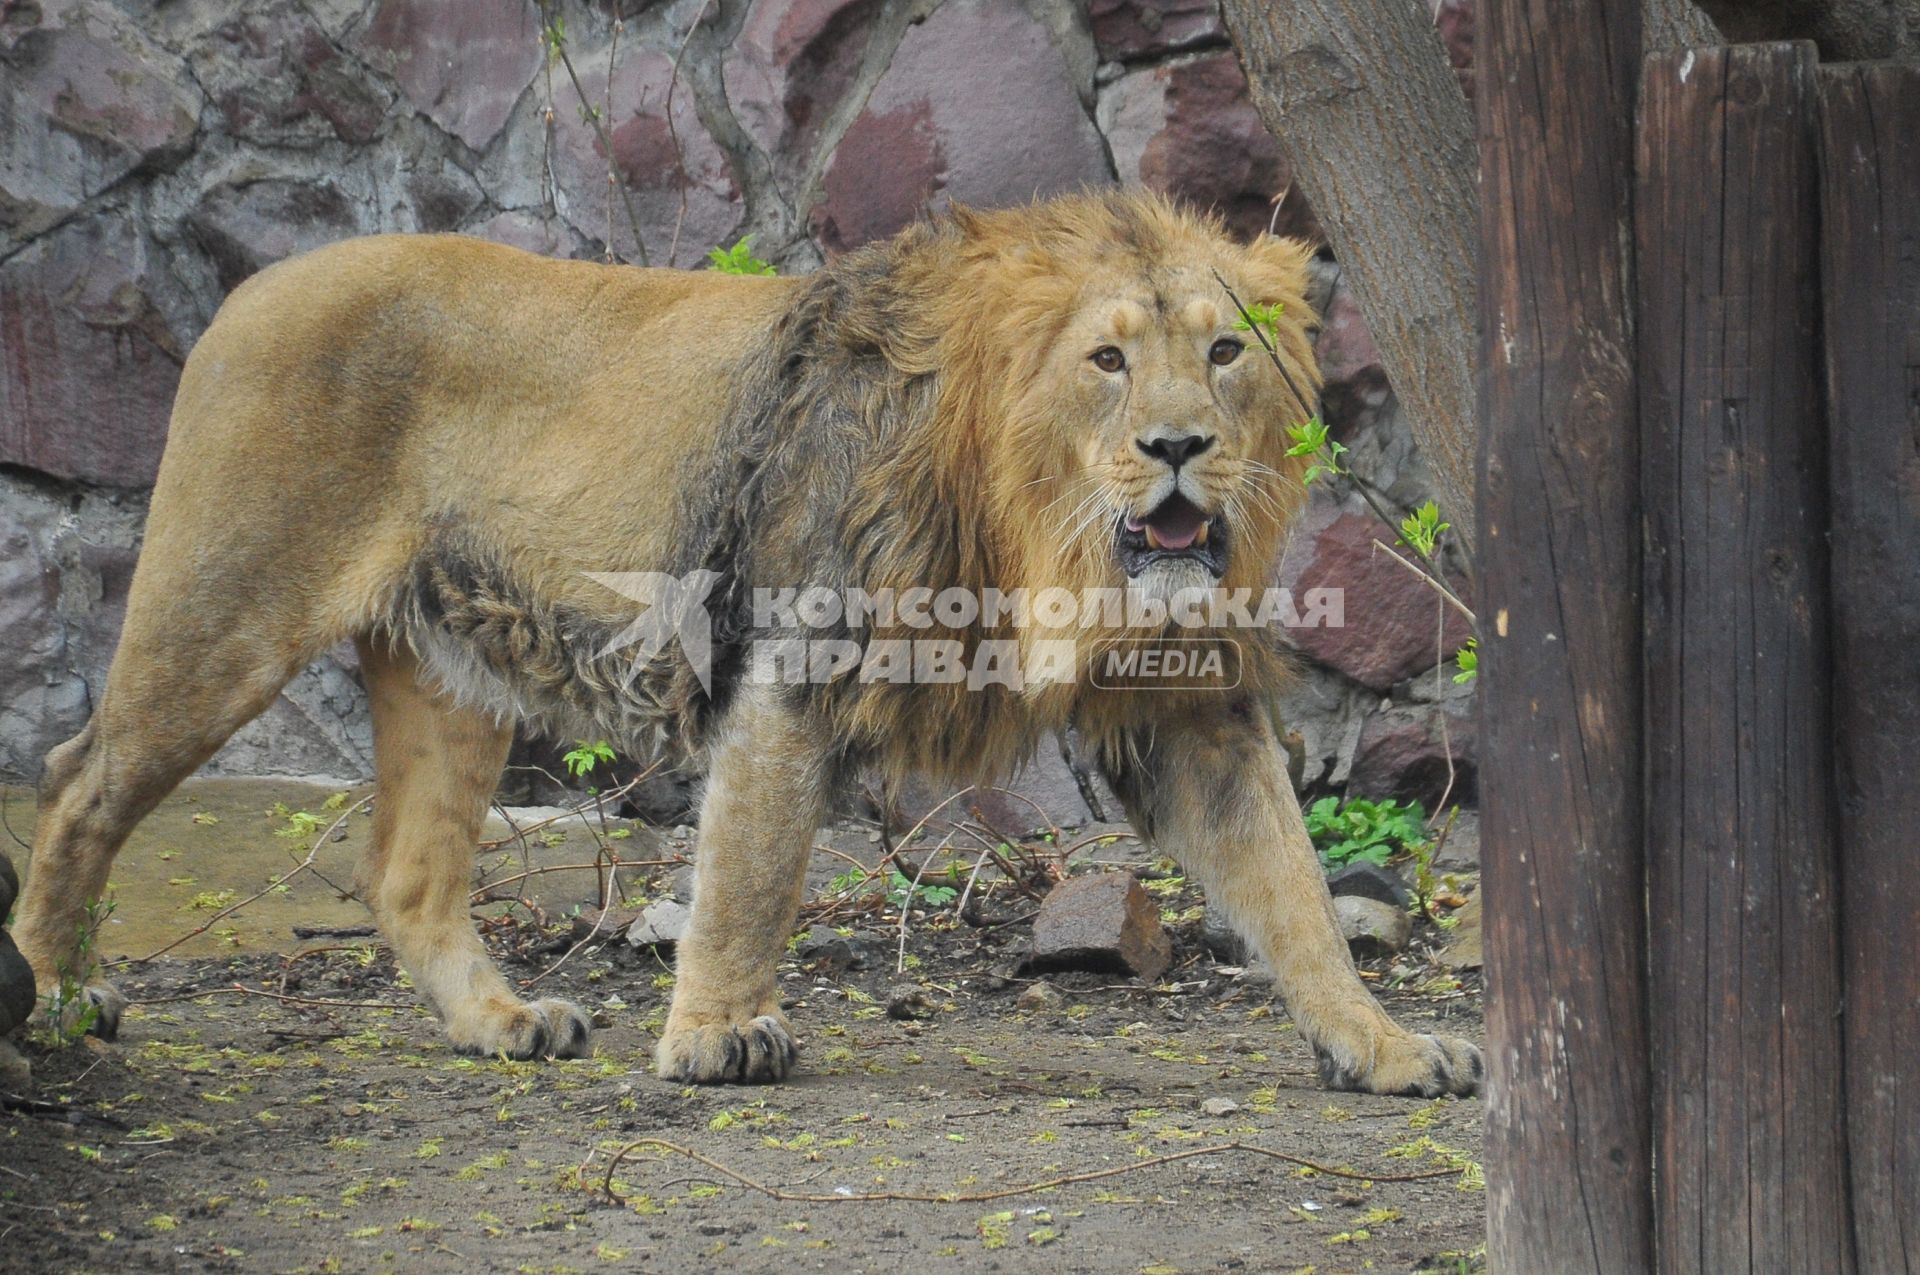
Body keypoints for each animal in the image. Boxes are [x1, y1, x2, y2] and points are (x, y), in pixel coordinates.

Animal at [11, 189, 1482, 1098]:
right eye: (1109, 361)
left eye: (1227, 352)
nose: (1180, 449)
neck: (1045, 534)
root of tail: (253, 285)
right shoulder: (794, 654)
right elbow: (754, 864)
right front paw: (715, 1035)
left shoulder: (1187, 704)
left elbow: (1291, 889)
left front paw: (1386, 1047)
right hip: (226, 607)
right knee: (78, 784)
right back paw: (57, 1003)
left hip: (447, 670)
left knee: (408, 871)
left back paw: (503, 1022)